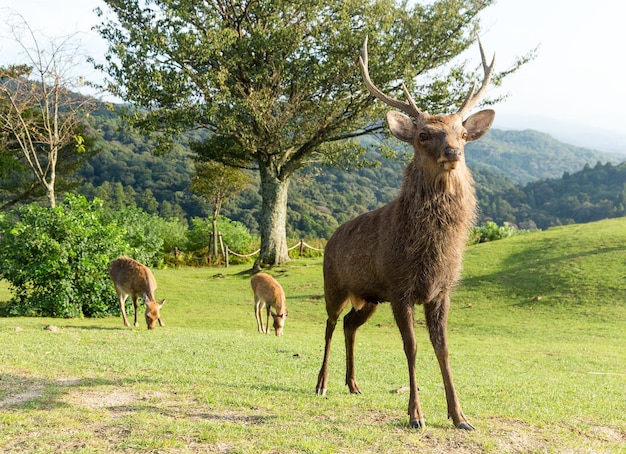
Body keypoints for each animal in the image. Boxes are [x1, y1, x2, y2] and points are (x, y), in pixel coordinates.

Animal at [314, 37, 494, 430]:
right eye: (424, 134)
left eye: (462, 133)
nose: (453, 152)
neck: (429, 253)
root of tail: (329, 239)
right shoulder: (399, 288)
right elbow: (411, 347)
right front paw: (415, 415)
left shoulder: (441, 291)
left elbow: (443, 348)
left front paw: (460, 416)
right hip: (334, 284)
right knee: (330, 324)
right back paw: (321, 383)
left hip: (368, 297)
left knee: (350, 324)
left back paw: (352, 383)